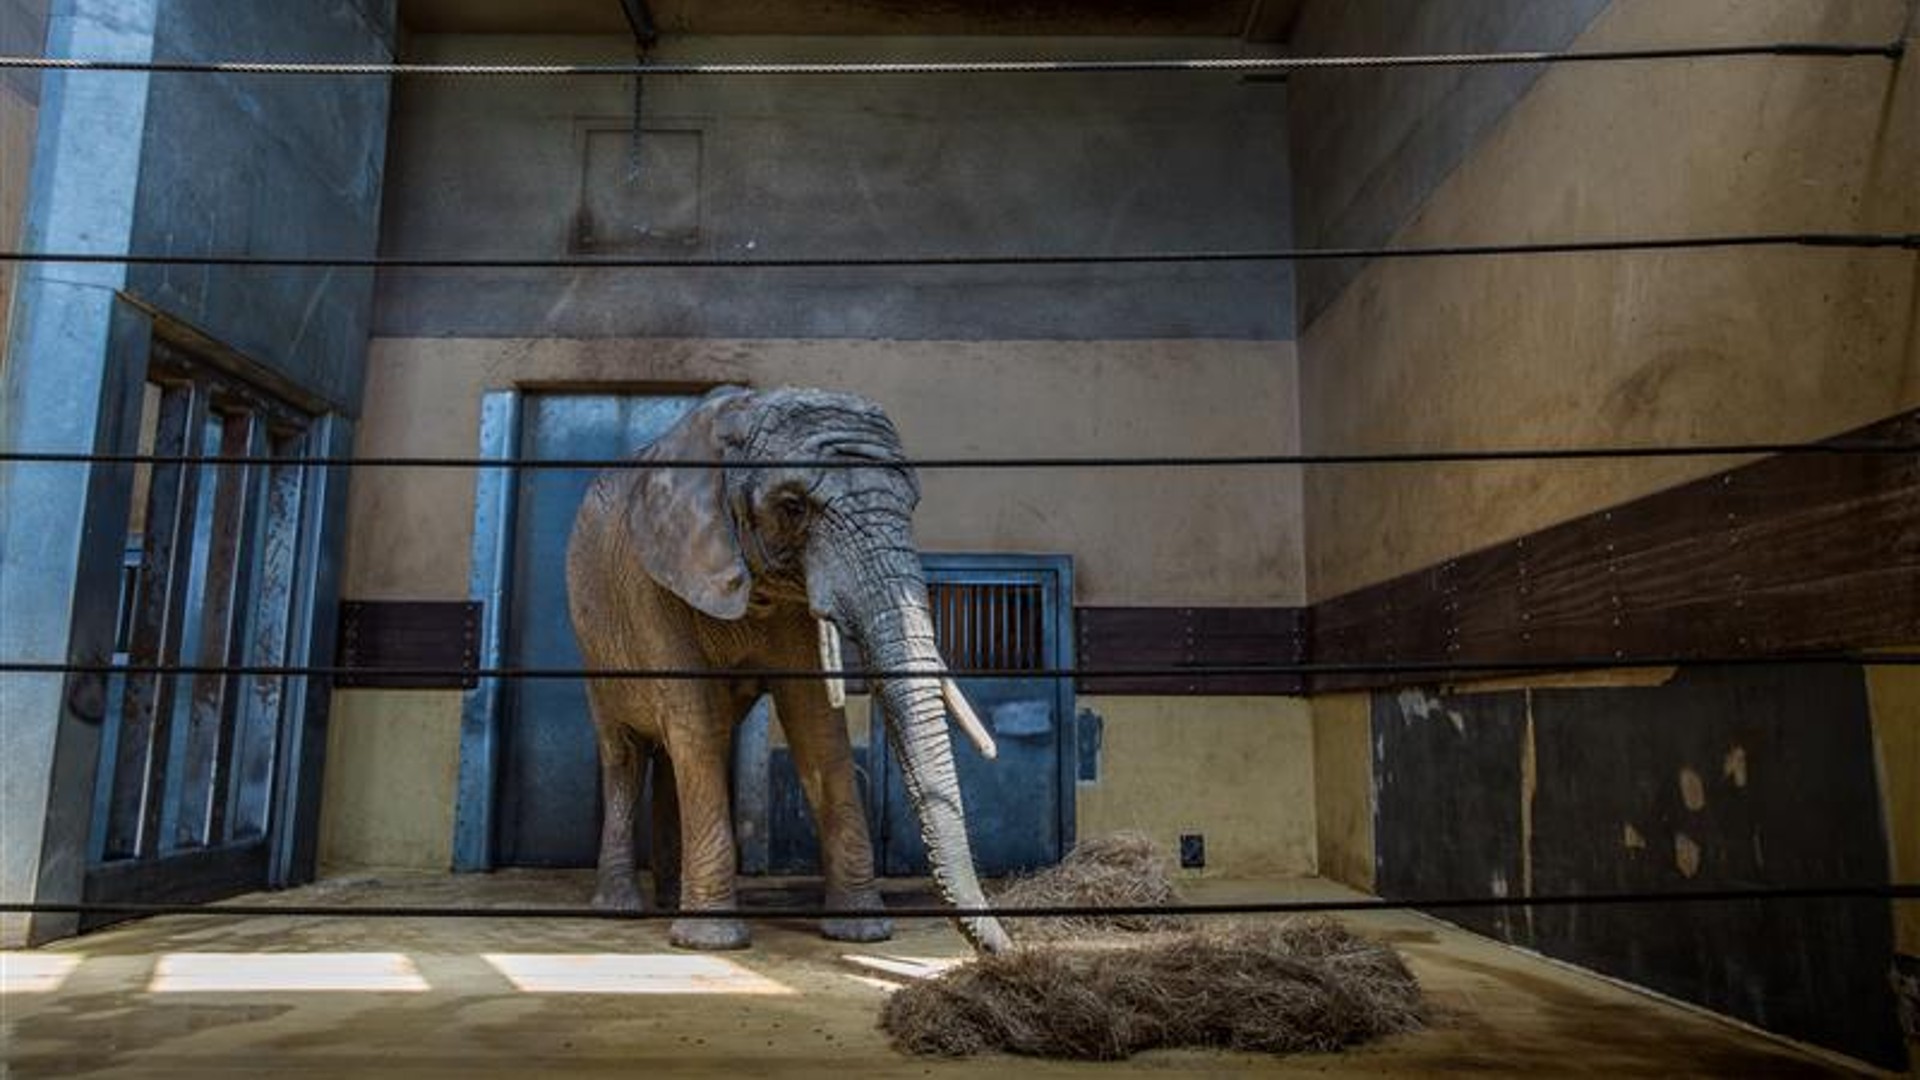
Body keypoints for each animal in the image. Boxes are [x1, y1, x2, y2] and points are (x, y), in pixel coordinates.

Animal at [564, 380, 1013, 949]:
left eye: (911, 504)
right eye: (793, 506)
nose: (1010, 948)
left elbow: (815, 721)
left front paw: (863, 931)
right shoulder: (653, 580)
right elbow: (695, 717)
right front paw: (713, 942)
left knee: (672, 754)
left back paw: (667, 900)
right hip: (593, 642)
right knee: (626, 752)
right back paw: (621, 910)